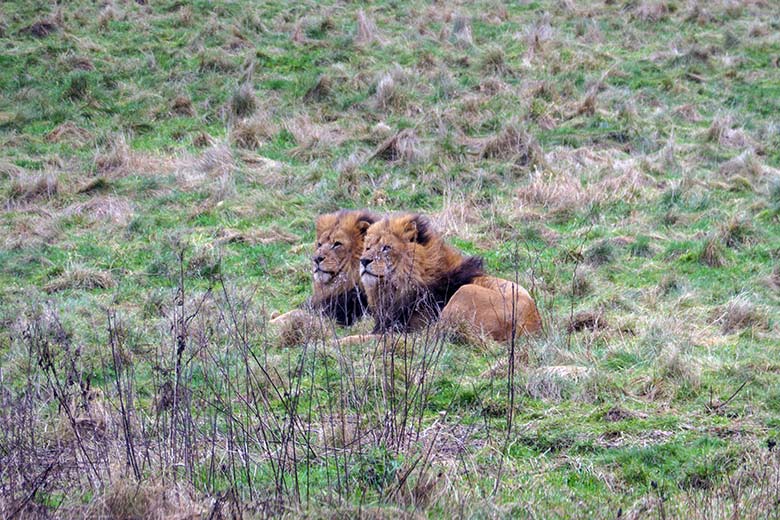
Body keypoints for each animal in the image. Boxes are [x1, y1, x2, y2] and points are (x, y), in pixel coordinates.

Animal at [342, 212, 544, 346]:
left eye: (386, 248)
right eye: (368, 247)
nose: (364, 261)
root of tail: (532, 324)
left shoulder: (412, 328)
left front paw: (337, 342)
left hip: (464, 293)